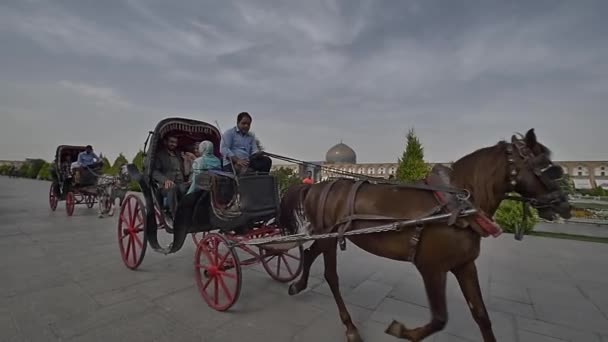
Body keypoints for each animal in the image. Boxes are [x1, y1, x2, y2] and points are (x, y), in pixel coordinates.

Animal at [278, 129, 572, 342]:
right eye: (546, 166)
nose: (565, 205)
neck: (458, 204)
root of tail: (314, 187)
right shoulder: (431, 265)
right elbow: (440, 318)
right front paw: (400, 330)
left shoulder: (464, 263)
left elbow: (481, 315)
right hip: (328, 233)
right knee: (331, 275)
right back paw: (350, 326)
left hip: (326, 232)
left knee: (311, 251)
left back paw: (297, 285)